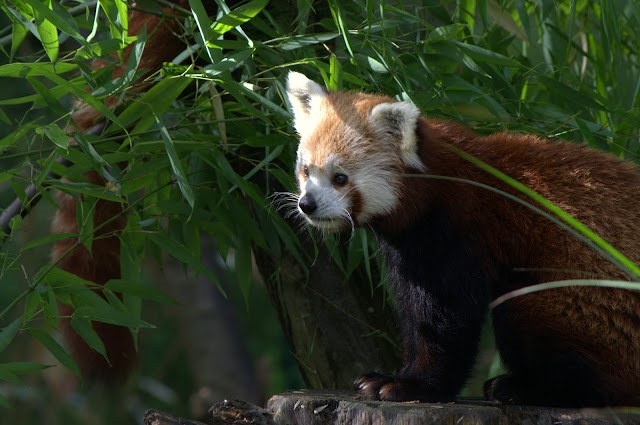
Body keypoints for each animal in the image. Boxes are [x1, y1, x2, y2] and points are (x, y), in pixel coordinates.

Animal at [288, 71, 640, 406]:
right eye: (306, 171)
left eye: (340, 178)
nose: (307, 204)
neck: (434, 191)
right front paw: (391, 376)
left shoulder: (460, 231)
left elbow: (447, 319)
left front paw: (412, 386)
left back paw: (527, 388)